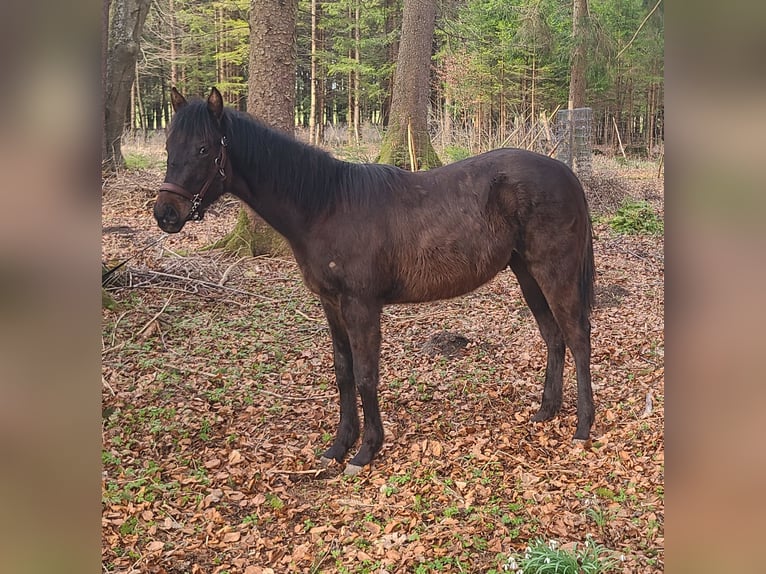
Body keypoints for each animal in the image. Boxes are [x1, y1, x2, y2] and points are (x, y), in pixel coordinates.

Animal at [154, 87, 596, 475]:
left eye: (204, 149)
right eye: (169, 147)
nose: (166, 214)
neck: (326, 205)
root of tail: (567, 173)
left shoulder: (361, 305)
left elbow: (367, 374)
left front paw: (366, 450)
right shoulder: (331, 303)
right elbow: (343, 371)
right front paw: (338, 445)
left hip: (553, 272)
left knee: (577, 338)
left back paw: (583, 426)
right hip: (527, 274)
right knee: (553, 337)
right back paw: (546, 411)